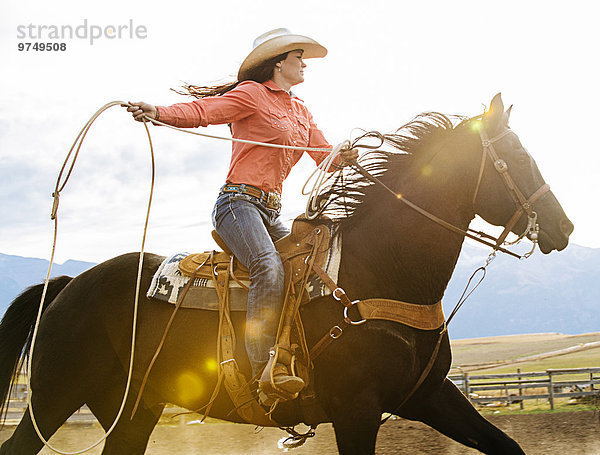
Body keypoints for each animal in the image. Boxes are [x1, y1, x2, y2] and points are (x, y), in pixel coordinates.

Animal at [0, 94, 572, 454]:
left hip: (132, 408)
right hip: (54, 394)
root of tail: (69, 286)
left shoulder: (427, 394)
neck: (379, 271)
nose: (564, 227)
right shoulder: (357, 409)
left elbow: (507, 445)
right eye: (517, 156)